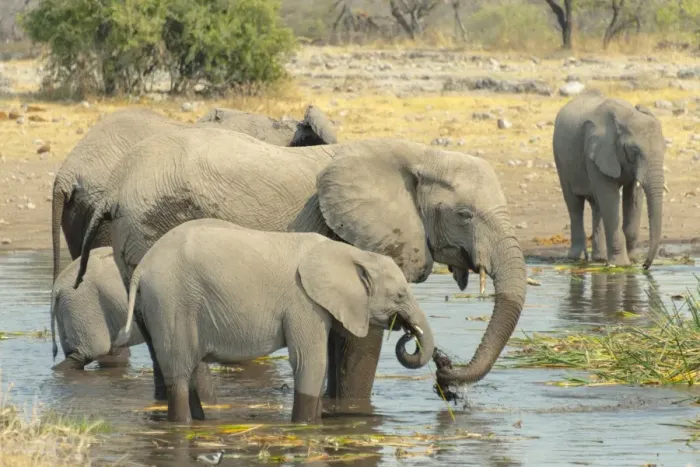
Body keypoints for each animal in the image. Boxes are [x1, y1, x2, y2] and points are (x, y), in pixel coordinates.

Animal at [113, 219, 434, 423]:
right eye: (400, 295)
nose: (408, 333)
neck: (351, 253)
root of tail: (143, 266)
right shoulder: (303, 302)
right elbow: (310, 362)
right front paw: (304, 428)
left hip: (155, 305)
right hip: (172, 301)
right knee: (179, 371)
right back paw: (183, 424)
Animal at [553, 90, 667, 268]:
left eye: (664, 148)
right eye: (634, 150)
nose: (645, 266)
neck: (627, 116)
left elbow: (632, 197)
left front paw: (632, 261)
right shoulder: (595, 152)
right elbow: (610, 198)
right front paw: (622, 265)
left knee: (597, 205)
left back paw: (599, 259)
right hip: (560, 158)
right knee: (575, 205)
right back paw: (576, 258)